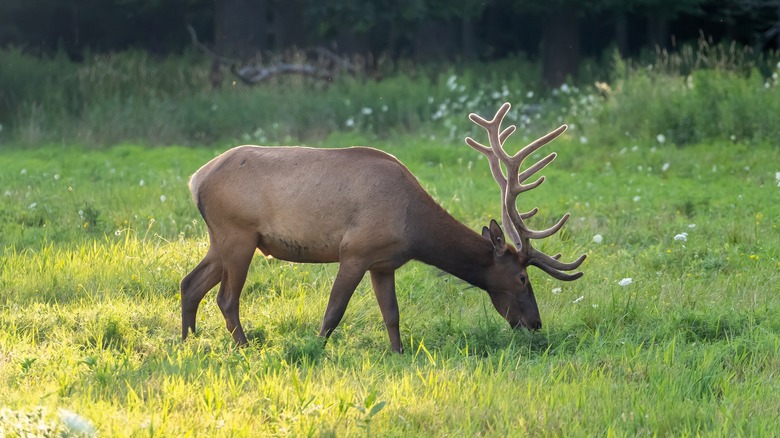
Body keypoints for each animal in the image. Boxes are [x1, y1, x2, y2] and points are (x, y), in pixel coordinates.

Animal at [180, 102, 586, 353]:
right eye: (522, 278)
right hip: (238, 234)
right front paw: (315, 348)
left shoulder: (383, 263)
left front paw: (399, 353)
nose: (535, 323)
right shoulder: (355, 251)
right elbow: (333, 311)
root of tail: (195, 179)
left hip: (221, 238)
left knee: (190, 283)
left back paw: (187, 342)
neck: (413, 230)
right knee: (226, 298)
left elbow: (392, 315)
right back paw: (244, 347)